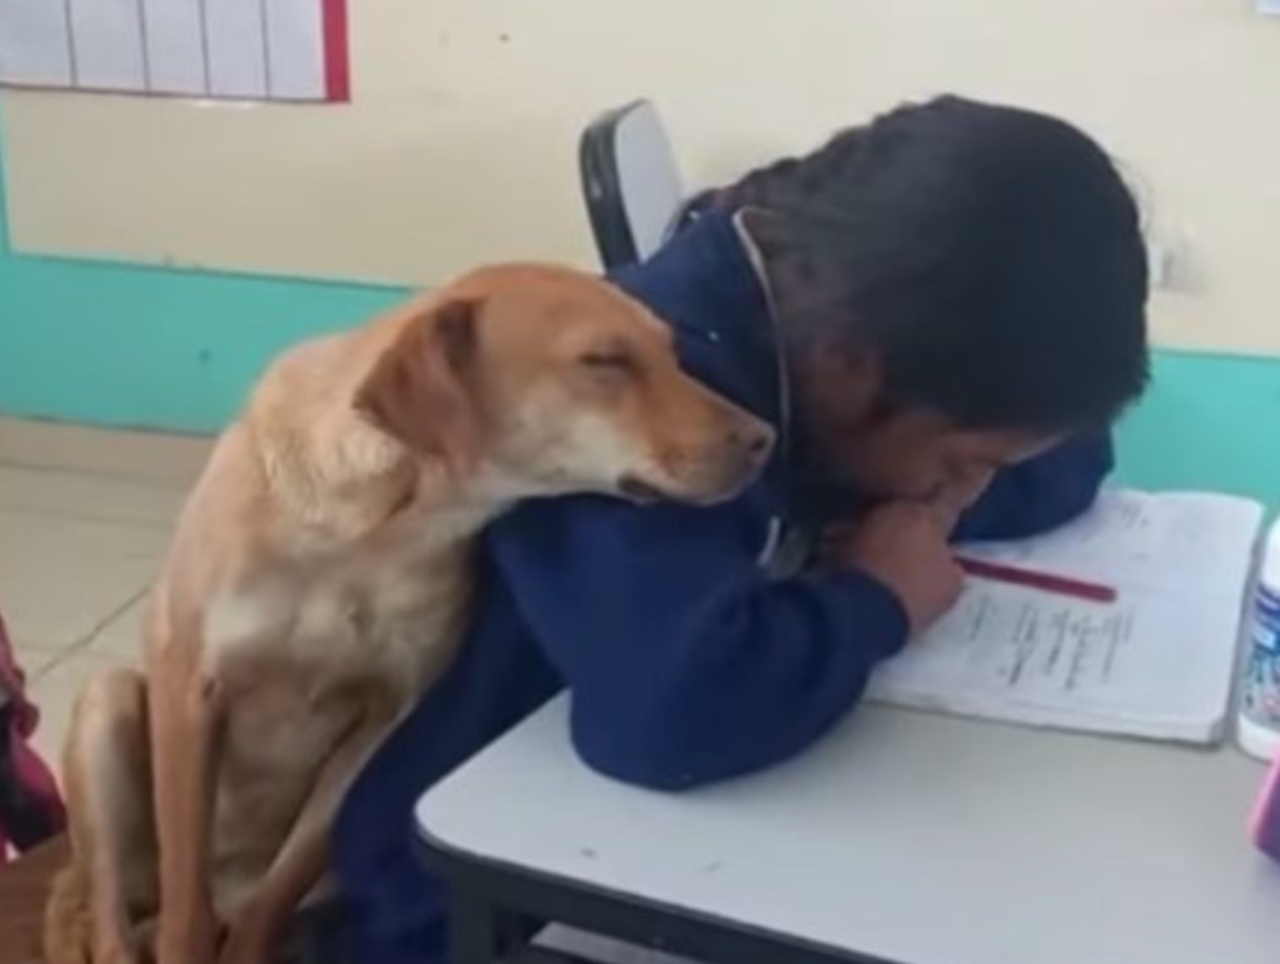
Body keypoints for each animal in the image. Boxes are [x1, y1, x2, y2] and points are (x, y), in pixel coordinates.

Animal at [45, 263, 773, 962]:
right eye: (604, 360)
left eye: (674, 352)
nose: (765, 437)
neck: (375, 528)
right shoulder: (193, 685)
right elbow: (187, 909)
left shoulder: (383, 719)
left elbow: (270, 901)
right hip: (109, 708)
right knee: (116, 915)